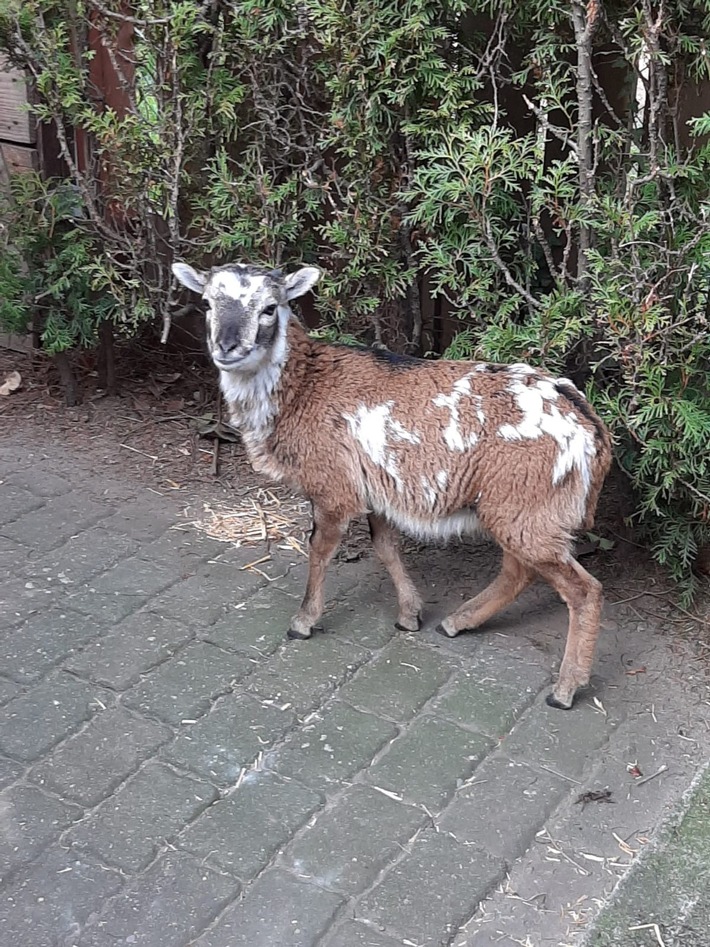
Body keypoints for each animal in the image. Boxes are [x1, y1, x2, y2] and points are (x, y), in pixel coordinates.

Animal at [174, 262, 616, 712]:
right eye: (206, 303)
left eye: (268, 308)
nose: (227, 346)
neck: (301, 390)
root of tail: (593, 434)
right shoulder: (377, 489)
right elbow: (386, 547)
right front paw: (409, 616)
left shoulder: (333, 484)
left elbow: (320, 549)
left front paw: (303, 622)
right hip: (519, 505)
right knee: (519, 571)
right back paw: (456, 623)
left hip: (525, 503)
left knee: (583, 590)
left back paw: (564, 690)